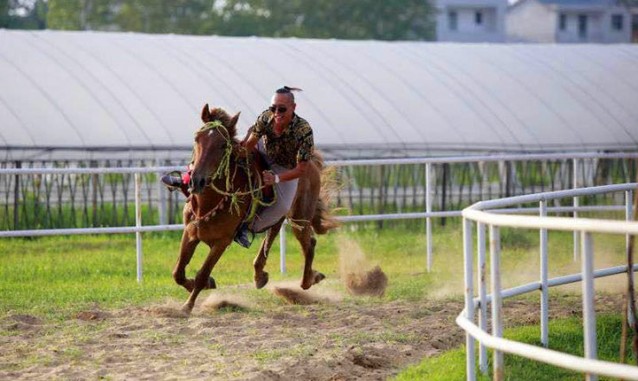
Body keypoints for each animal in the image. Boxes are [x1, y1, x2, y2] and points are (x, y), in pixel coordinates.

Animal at [170, 104, 340, 312]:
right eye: (197, 138)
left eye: (222, 145)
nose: (196, 180)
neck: (207, 204)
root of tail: (311, 162)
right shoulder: (190, 232)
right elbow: (178, 272)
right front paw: (201, 284)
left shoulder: (222, 242)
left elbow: (202, 273)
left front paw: (188, 305)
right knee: (274, 233)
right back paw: (260, 275)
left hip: (300, 217)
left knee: (309, 243)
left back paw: (308, 280)